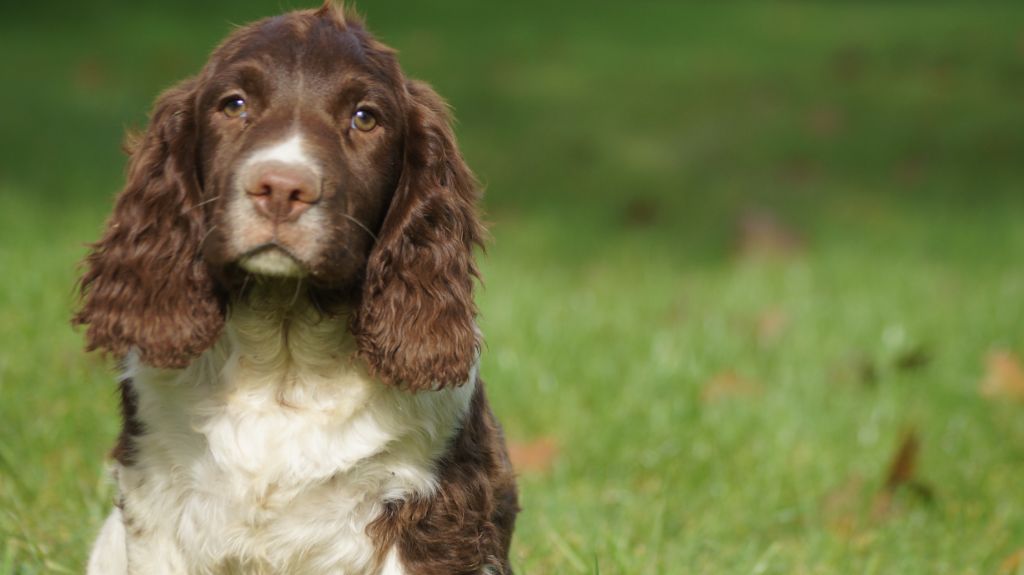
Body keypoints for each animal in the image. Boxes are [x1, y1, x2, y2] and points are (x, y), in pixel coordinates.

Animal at [76, 3, 520, 568]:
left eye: (364, 118)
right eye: (234, 104)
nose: (282, 188)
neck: (284, 356)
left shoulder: (433, 509)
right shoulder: (156, 500)